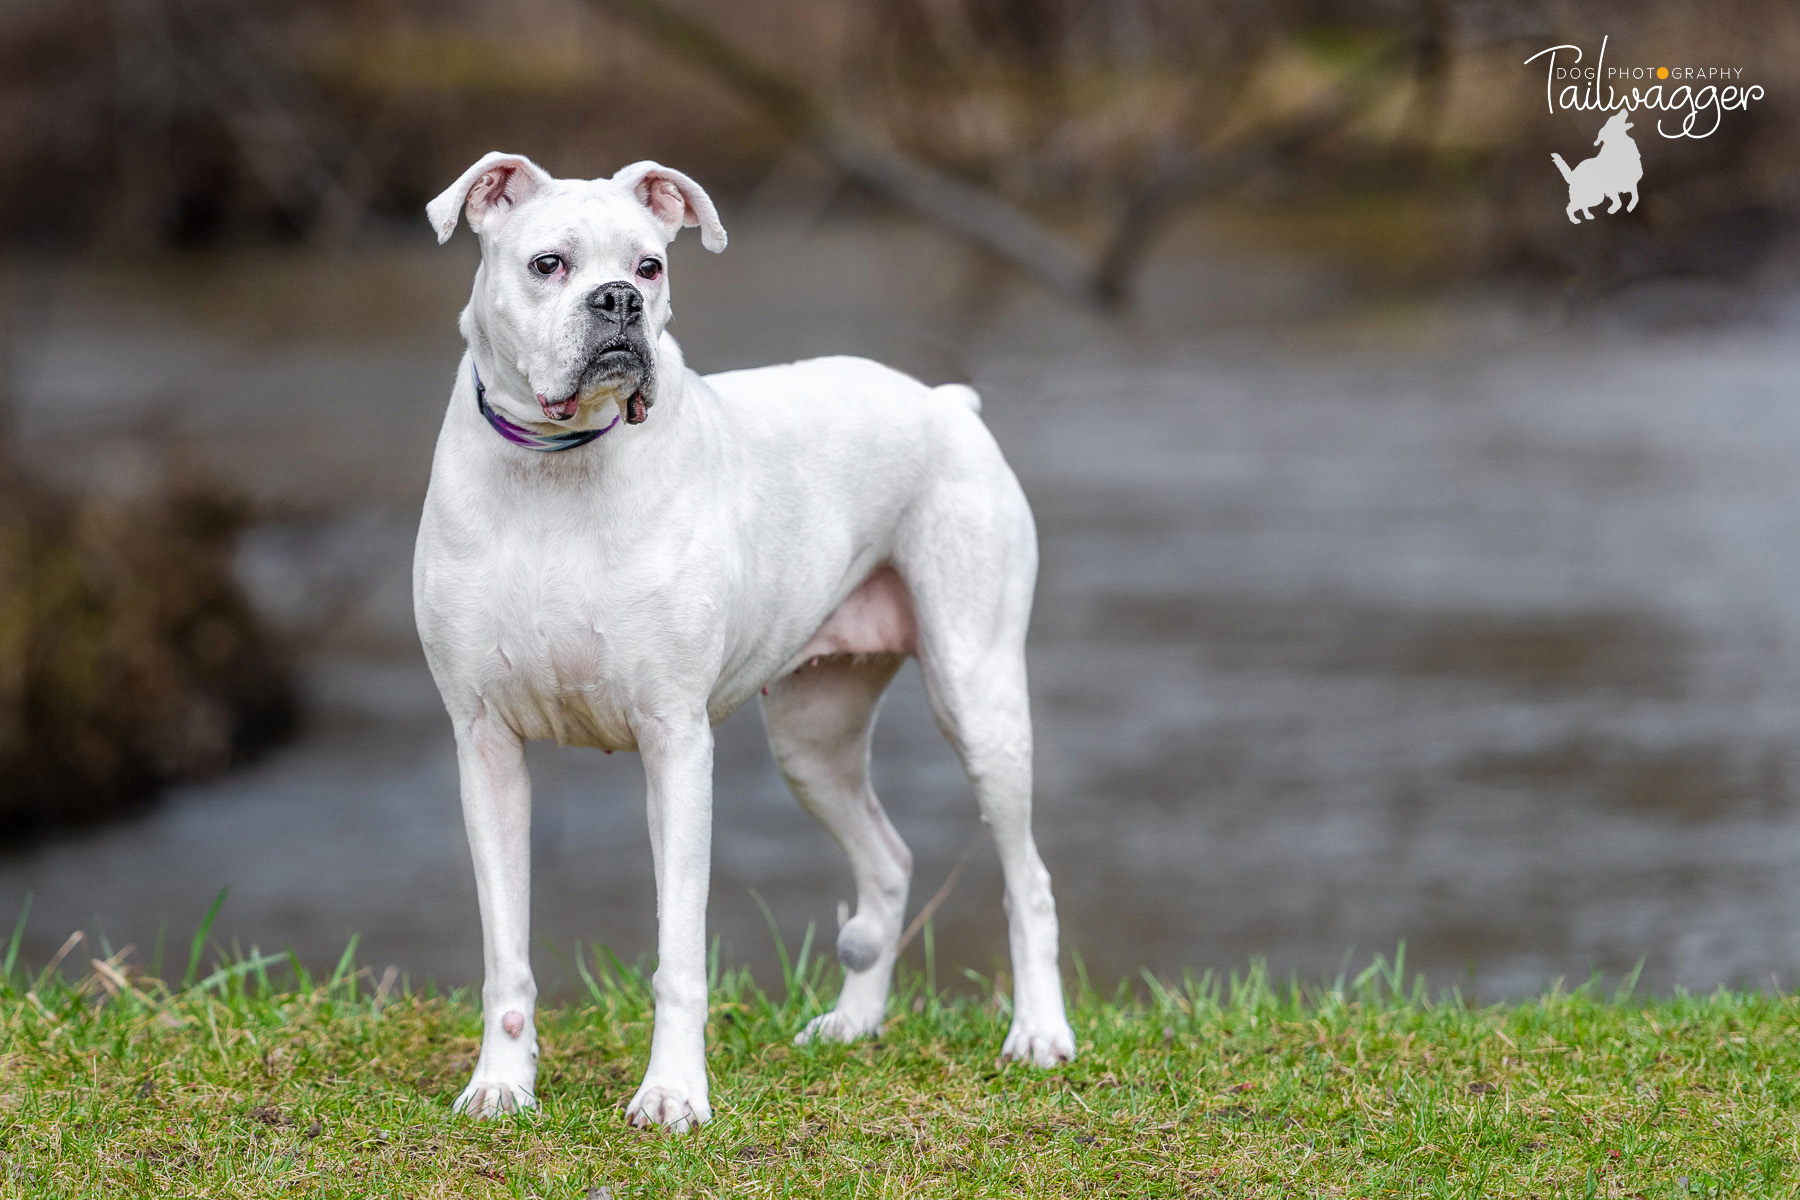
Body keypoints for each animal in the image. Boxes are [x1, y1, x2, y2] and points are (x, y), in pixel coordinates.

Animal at [414, 147, 1072, 1129]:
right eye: (548, 264)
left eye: (651, 265)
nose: (619, 301)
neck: (558, 468)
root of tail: (945, 402)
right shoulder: (486, 746)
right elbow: (506, 951)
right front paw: (500, 1083)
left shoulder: (675, 745)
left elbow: (679, 952)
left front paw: (673, 1094)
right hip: (813, 740)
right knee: (888, 861)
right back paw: (853, 1023)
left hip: (980, 700)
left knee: (1027, 877)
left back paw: (1039, 1034)